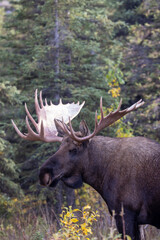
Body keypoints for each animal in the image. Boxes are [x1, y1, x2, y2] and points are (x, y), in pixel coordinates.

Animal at [11, 90, 160, 240]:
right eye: (59, 147)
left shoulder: (125, 212)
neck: (102, 175)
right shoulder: (137, 221)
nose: (43, 174)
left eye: (73, 149)